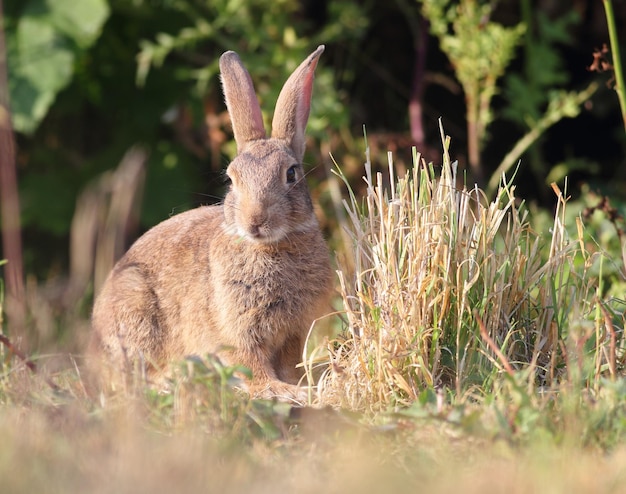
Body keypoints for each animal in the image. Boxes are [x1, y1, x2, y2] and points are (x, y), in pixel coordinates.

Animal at [90, 44, 334, 404]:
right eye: (231, 179)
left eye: (291, 174)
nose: (255, 221)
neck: (269, 247)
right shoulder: (236, 329)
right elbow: (251, 364)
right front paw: (280, 390)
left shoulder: (296, 331)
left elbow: (289, 361)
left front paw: (298, 386)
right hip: (135, 310)